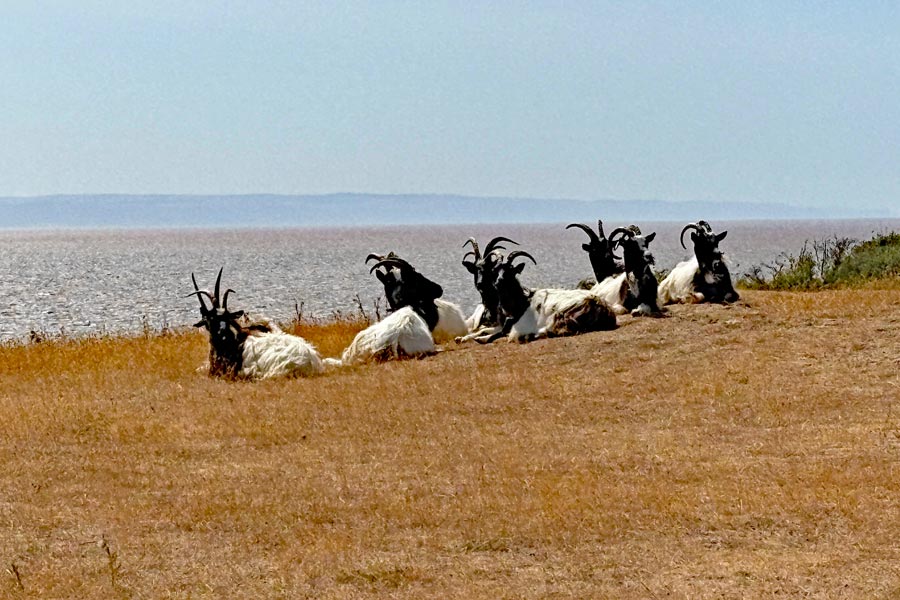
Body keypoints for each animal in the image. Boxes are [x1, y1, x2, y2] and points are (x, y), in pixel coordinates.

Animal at [473, 250, 617, 344]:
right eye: (495, 271)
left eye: (510, 270)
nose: (499, 282)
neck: (522, 301)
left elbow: (501, 332)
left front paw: (481, 339)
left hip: (561, 314)